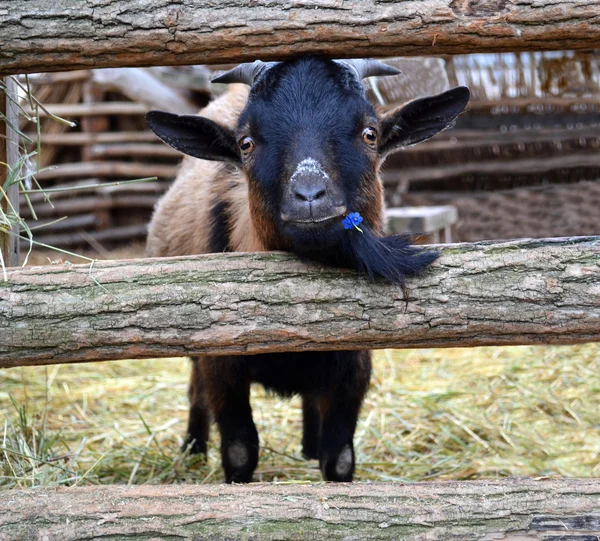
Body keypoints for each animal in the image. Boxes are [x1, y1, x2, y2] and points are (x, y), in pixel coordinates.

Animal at [146, 57, 468, 484]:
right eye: (246, 143)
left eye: (370, 134)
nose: (310, 196)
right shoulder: (221, 363)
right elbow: (239, 450)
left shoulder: (353, 364)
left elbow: (340, 457)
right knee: (196, 391)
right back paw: (192, 448)